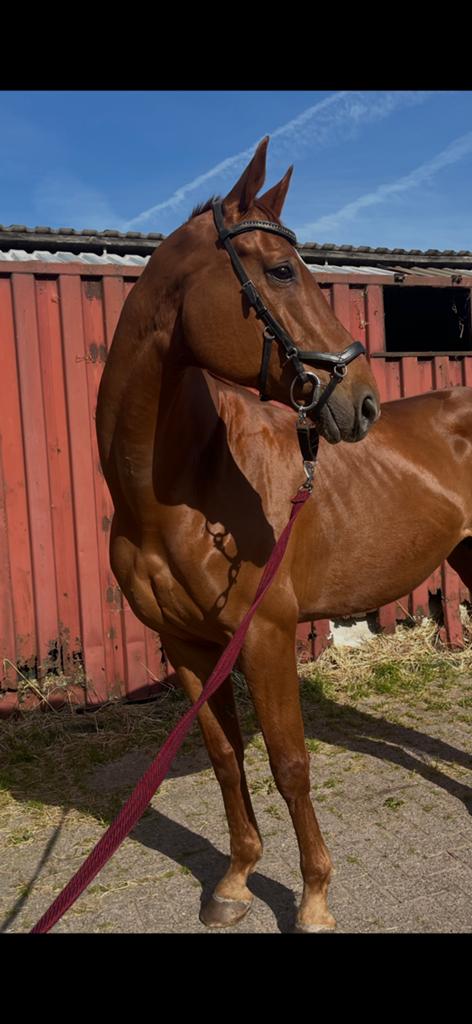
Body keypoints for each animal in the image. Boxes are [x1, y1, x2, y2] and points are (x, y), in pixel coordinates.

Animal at [96, 136, 472, 932]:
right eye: (279, 271)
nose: (363, 403)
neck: (177, 492)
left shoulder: (267, 634)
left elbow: (290, 765)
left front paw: (314, 899)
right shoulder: (187, 647)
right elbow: (226, 759)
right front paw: (236, 882)